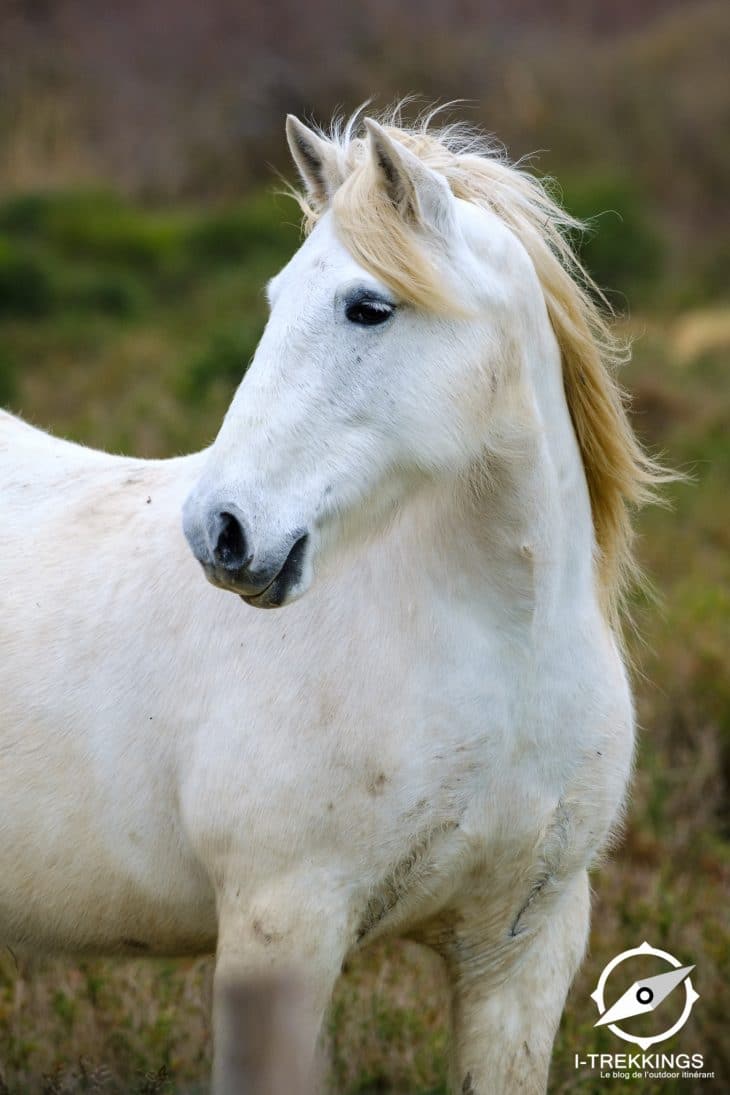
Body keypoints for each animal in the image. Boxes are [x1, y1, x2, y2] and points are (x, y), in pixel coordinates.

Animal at [0, 113, 665, 1095]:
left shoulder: (525, 948)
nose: (220, 530)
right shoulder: (283, 928)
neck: (504, 660)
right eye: (276, 299)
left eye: (369, 307)